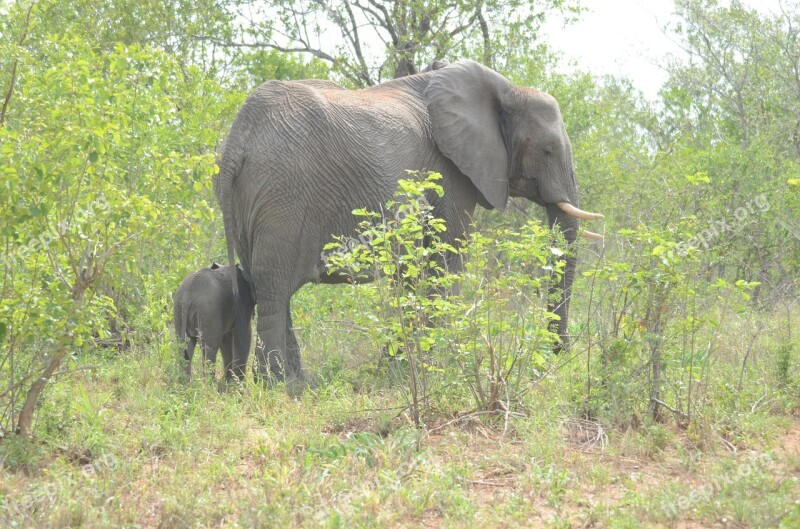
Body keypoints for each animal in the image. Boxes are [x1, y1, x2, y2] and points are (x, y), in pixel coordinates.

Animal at [216, 59, 604, 382]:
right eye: (548, 150)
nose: (558, 353)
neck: (504, 89)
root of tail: (239, 137)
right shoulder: (449, 172)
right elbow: (446, 260)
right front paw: (440, 365)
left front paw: (399, 367)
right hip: (284, 195)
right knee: (274, 287)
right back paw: (280, 386)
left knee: (266, 287)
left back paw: (298, 383)